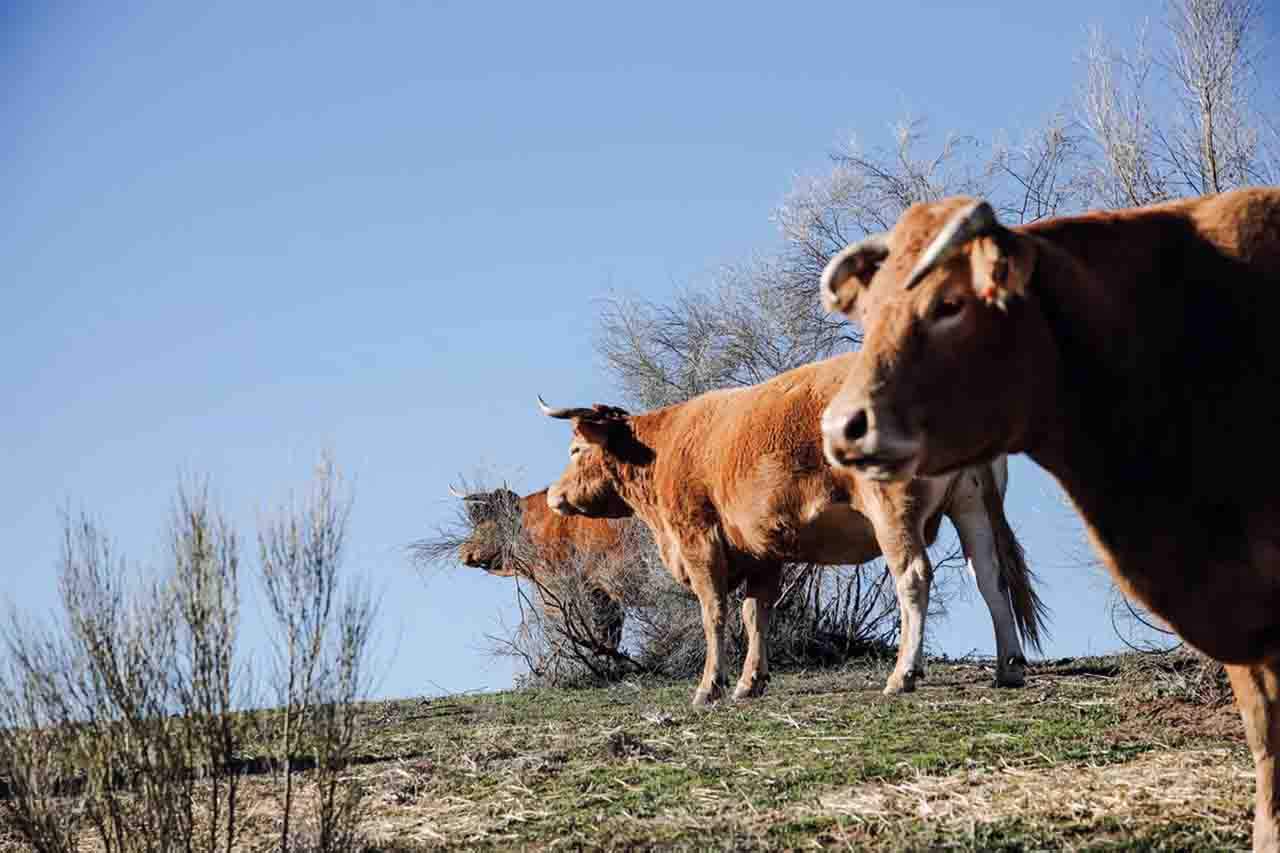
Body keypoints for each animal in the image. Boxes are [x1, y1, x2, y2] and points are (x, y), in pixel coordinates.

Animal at [535, 350, 1044, 701]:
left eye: (575, 450)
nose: (556, 496)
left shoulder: (699, 540)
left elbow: (714, 612)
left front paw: (710, 686)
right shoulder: (763, 552)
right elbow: (755, 614)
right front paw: (750, 682)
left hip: (893, 513)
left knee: (913, 577)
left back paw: (903, 674)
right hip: (971, 506)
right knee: (991, 579)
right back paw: (1010, 668)